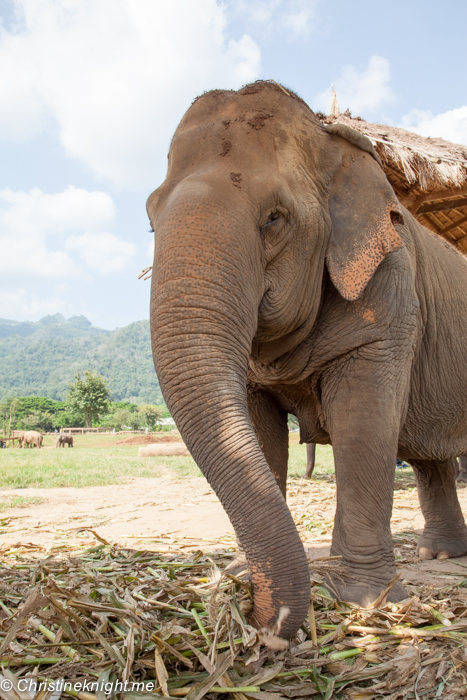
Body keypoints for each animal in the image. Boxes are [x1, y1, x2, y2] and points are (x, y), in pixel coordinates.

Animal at [148, 80, 467, 640]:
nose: (264, 626)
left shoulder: (388, 290)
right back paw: (441, 555)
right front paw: (239, 575)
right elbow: (260, 433)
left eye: (274, 218)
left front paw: (364, 599)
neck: (333, 143)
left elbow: (363, 424)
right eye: (149, 219)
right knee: (432, 459)